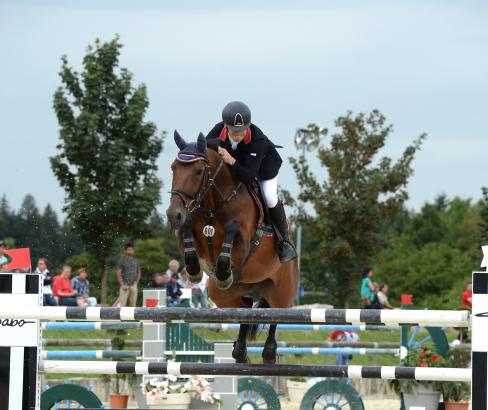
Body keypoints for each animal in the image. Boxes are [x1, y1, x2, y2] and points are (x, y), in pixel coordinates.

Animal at [166, 131, 300, 362]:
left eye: (198, 171)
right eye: (174, 168)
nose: (174, 215)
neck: (214, 204)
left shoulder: (243, 246)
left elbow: (231, 232)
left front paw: (222, 270)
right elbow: (188, 232)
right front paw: (194, 271)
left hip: (282, 289)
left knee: (276, 313)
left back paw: (269, 352)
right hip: (223, 293)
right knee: (246, 307)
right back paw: (240, 351)